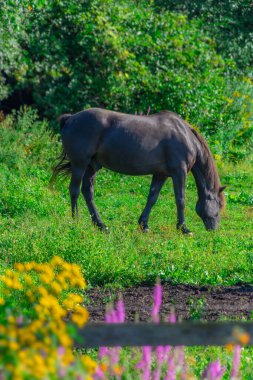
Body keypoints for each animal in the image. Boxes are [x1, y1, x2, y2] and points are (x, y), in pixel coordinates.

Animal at [51, 106, 225, 235]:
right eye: (219, 205)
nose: (215, 229)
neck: (185, 135)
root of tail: (70, 118)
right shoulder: (179, 172)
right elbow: (180, 200)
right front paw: (183, 228)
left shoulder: (161, 174)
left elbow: (152, 198)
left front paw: (144, 225)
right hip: (80, 164)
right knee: (74, 191)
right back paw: (76, 220)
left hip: (92, 166)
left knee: (88, 192)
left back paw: (101, 225)